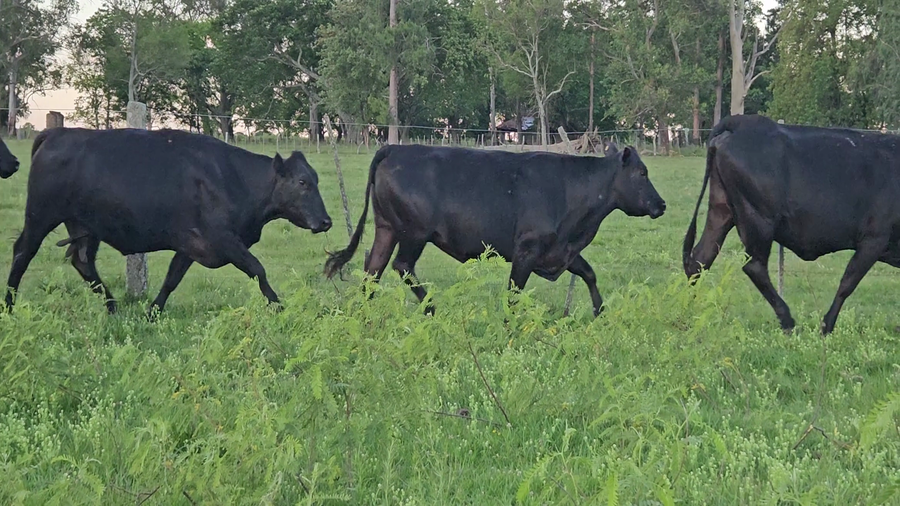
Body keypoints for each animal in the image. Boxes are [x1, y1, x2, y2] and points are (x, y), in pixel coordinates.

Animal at [6, 127, 332, 315]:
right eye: (303, 182)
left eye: (317, 180)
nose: (326, 221)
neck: (233, 178)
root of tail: (57, 133)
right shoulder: (224, 239)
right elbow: (258, 270)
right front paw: (279, 306)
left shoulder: (190, 244)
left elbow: (172, 279)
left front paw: (153, 311)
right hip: (40, 216)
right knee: (23, 253)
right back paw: (8, 305)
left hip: (85, 227)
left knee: (83, 262)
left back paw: (113, 307)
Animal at [324, 144, 666, 317]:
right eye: (642, 173)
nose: (661, 204)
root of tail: (395, 147)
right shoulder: (527, 250)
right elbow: (514, 292)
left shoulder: (560, 250)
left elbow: (589, 273)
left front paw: (599, 311)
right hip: (414, 232)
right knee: (401, 265)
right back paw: (432, 307)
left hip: (387, 228)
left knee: (373, 269)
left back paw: (364, 312)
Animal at [683, 114, 900, 335]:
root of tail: (740, 122)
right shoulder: (873, 239)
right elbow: (848, 282)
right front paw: (826, 327)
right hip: (758, 219)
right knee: (754, 267)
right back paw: (788, 321)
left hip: (721, 209)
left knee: (701, 258)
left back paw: (690, 311)